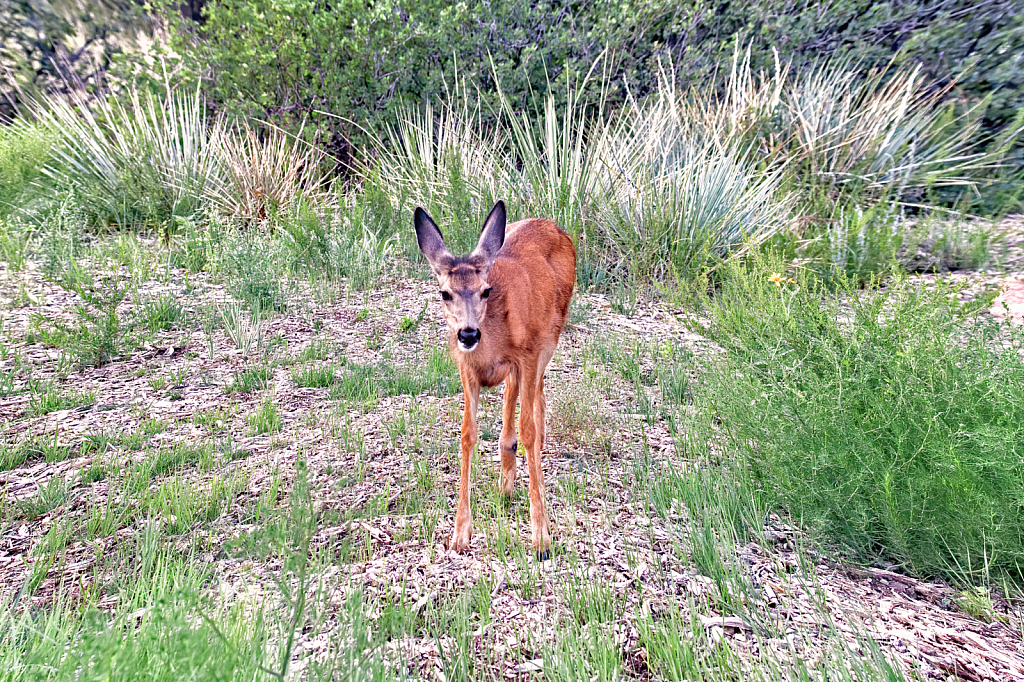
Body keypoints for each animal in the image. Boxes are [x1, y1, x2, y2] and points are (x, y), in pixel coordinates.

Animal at [413, 197, 577, 557]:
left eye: (485, 291)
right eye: (445, 293)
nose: (468, 333)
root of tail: (551, 224)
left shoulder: (529, 354)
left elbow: (528, 429)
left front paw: (541, 537)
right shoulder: (466, 369)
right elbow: (467, 433)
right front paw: (460, 534)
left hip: (551, 335)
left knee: (538, 399)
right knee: (514, 397)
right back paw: (506, 482)